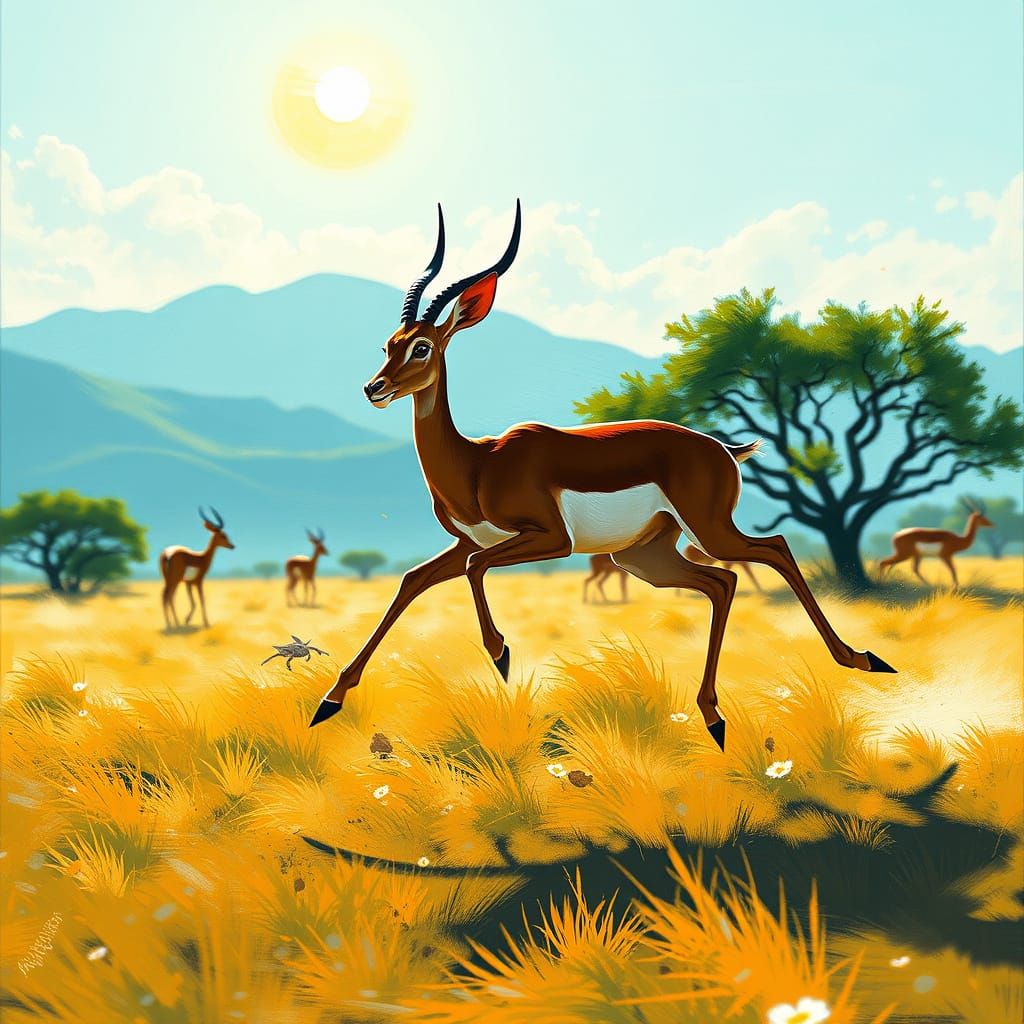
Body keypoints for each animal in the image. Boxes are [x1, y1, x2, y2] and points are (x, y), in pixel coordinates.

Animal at [309, 202, 895, 748]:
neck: (477, 464)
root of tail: (723, 448)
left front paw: (502, 655)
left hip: (706, 530)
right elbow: (412, 581)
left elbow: (475, 569)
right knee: (721, 582)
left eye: (422, 345)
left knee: (774, 548)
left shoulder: (549, 538)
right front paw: (329, 700)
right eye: (388, 343)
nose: (374, 388)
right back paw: (714, 716)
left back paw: (862, 660)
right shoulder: (470, 541)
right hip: (643, 556)